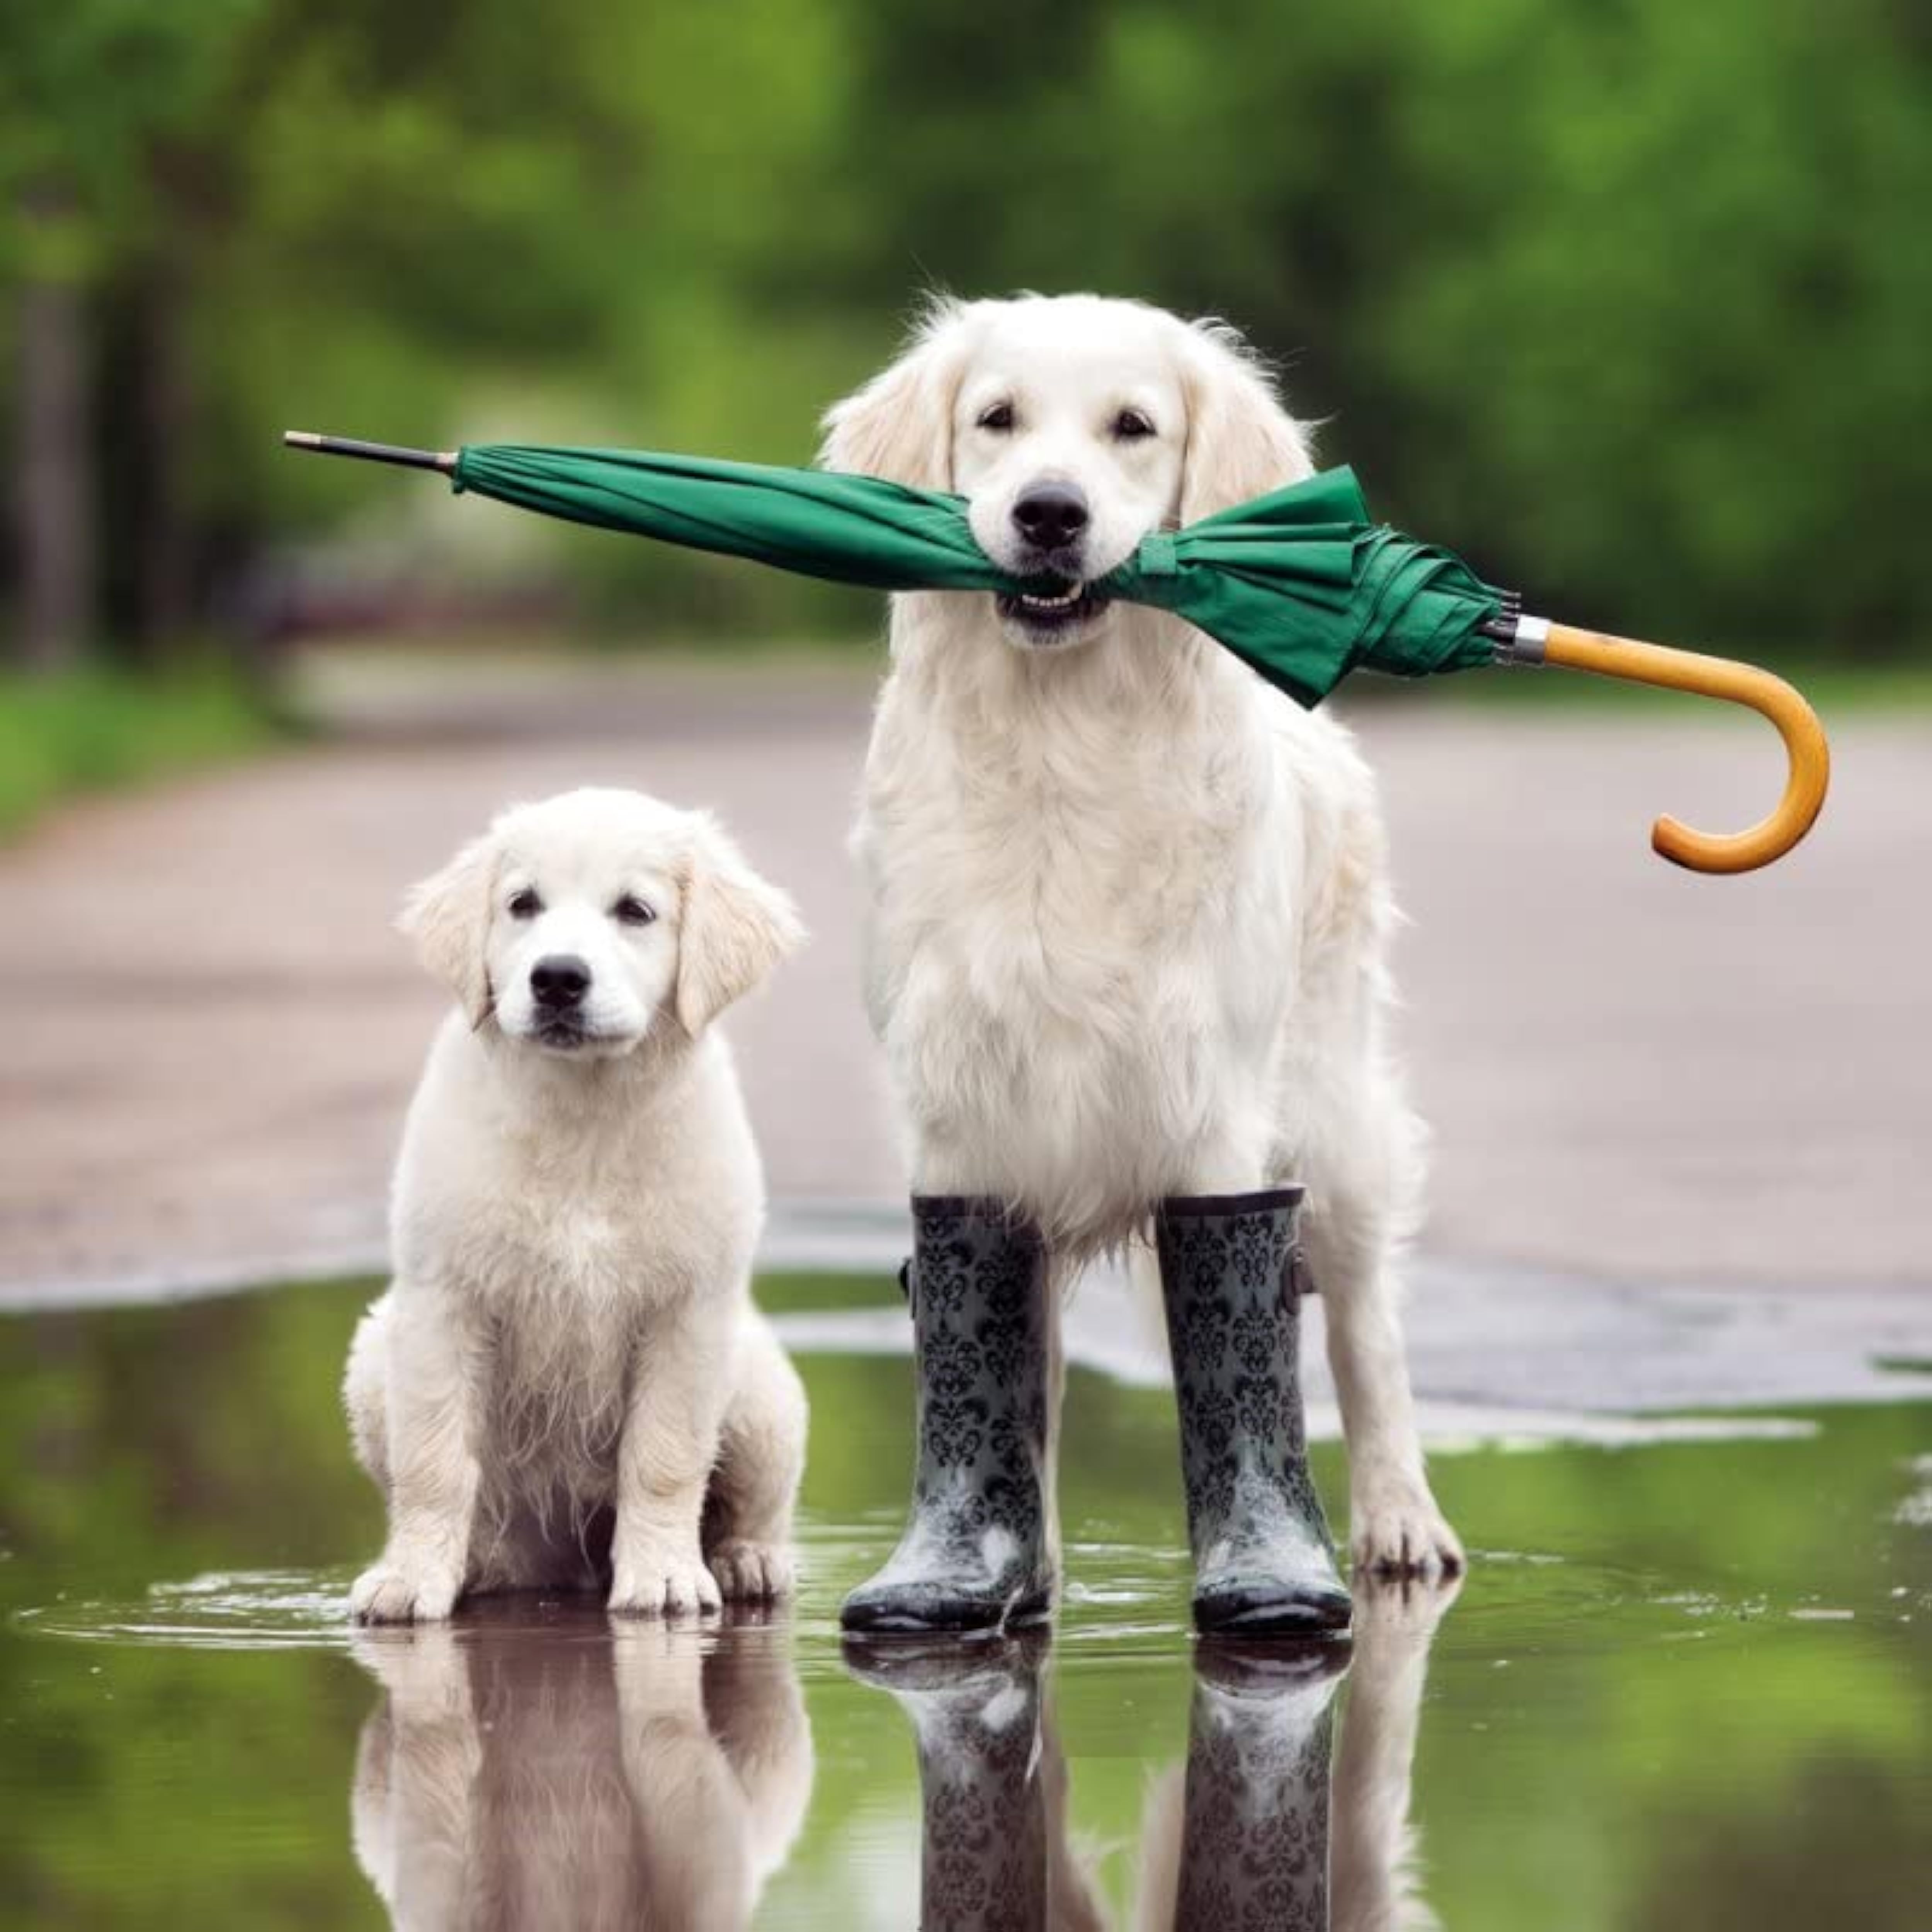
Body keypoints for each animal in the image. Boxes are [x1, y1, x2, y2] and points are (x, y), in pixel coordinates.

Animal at [344, 781, 804, 1615]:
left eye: (636, 911)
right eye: (522, 904)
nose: (557, 977)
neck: (584, 1116)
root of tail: (562, 1570)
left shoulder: (689, 1310)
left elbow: (665, 1457)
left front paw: (663, 1576)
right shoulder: (440, 1301)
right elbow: (433, 1461)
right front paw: (410, 1578)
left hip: (760, 1390)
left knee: (756, 1503)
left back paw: (746, 1561)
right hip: (372, 1356)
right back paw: (478, 1567)